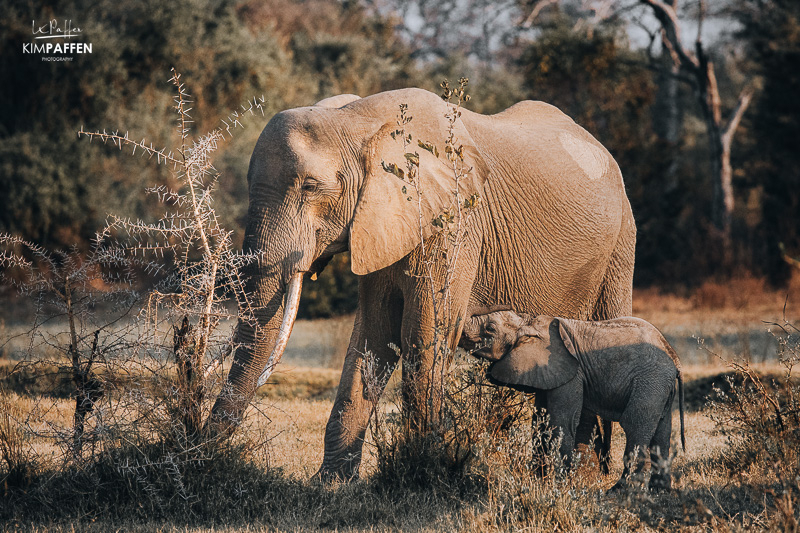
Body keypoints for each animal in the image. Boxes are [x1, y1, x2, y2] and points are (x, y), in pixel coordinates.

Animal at [208, 87, 636, 478]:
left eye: (310, 186)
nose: (202, 450)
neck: (358, 121)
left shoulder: (455, 222)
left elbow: (423, 333)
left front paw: (422, 470)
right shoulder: (380, 223)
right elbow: (374, 333)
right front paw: (331, 484)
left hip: (620, 245)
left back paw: (582, 478)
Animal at [462, 312, 688, 490]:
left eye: (490, 328)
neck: (528, 322)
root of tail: (675, 359)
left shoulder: (571, 374)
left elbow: (562, 422)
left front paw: (561, 486)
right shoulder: (547, 372)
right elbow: (541, 422)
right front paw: (540, 482)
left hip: (650, 381)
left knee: (635, 426)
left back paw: (619, 491)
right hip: (660, 386)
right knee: (662, 432)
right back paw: (660, 491)